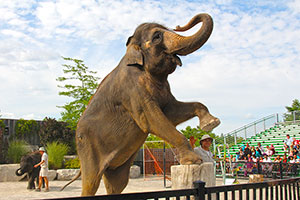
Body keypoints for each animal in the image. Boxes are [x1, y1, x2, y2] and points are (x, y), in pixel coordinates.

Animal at [62, 13, 219, 196]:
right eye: (157, 36)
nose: (179, 25)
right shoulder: (132, 90)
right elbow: (152, 120)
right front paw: (195, 160)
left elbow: (171, 113)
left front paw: (210, 123)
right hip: (87, 148)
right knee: (91, 183)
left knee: (118, 183)